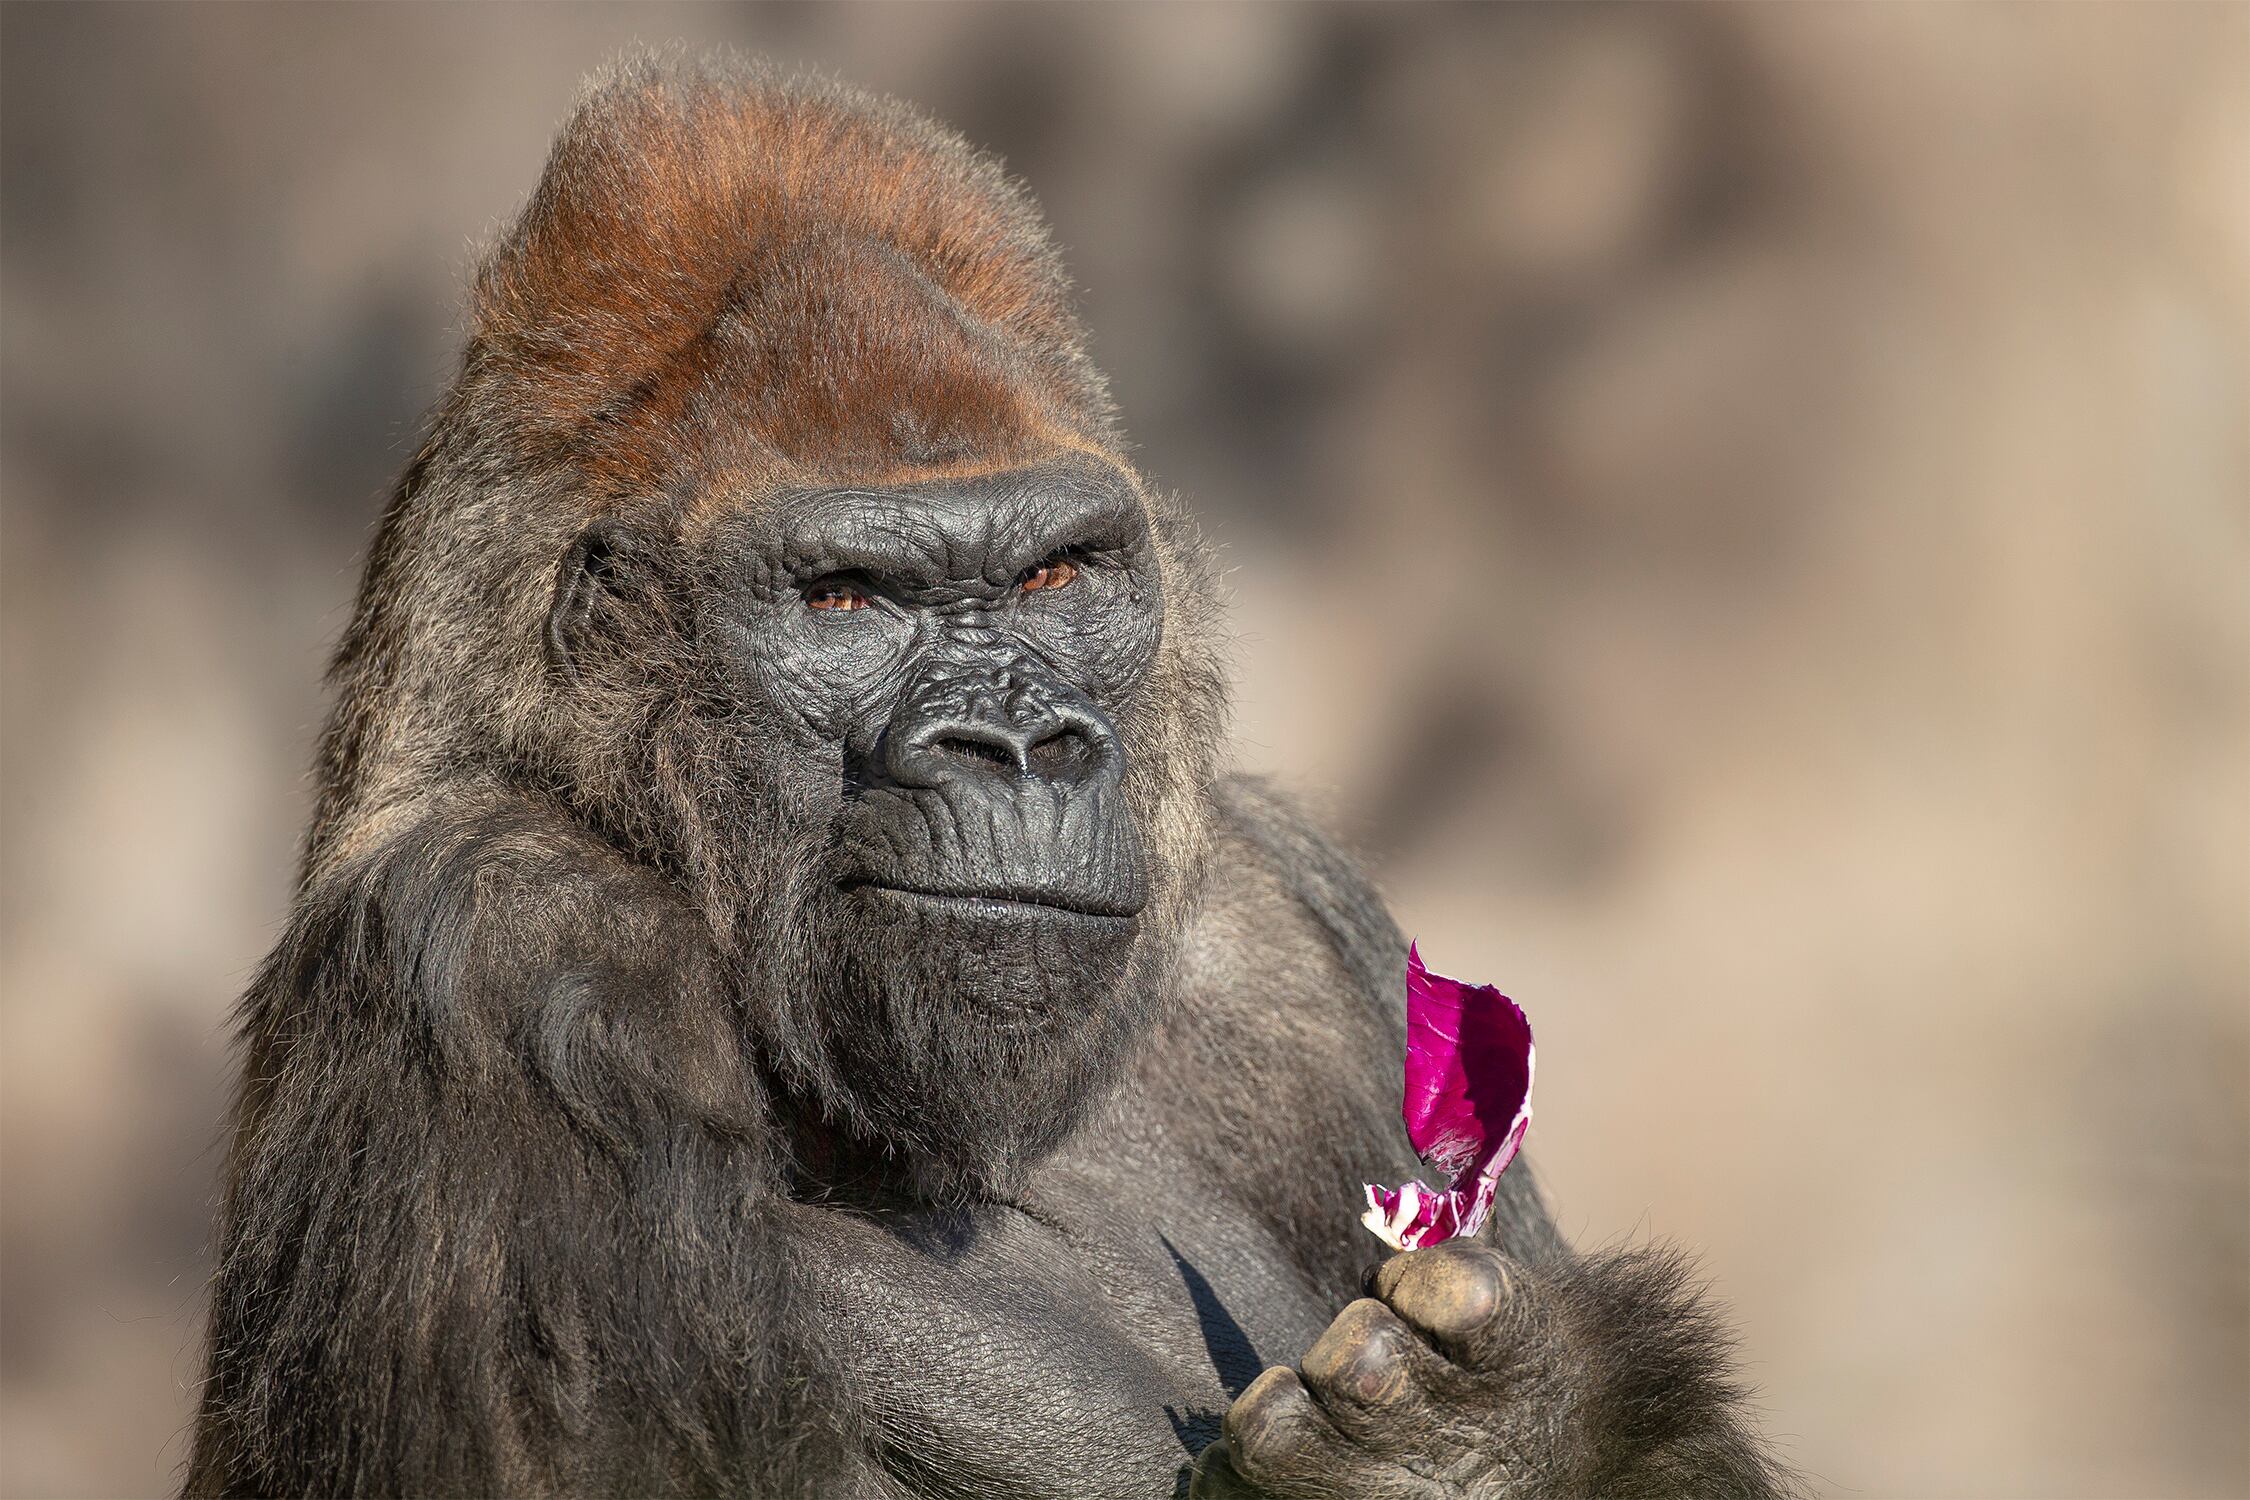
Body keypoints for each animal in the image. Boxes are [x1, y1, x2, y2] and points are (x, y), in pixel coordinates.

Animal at [180, 52, 1791, 1500]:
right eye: (847, 600)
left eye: (1053, 576)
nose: (1019, 745)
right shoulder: (504, 942)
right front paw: (1445, 1458)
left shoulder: (1293, 926)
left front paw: (1503, 1439)